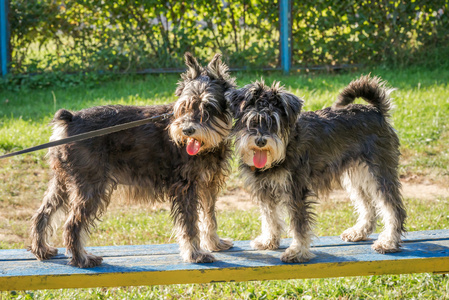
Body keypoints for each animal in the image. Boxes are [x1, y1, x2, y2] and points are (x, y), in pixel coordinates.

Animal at [28, 53, 236, 268]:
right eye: (184, 106)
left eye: (208, 107)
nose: (187, 130)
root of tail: (69, 119)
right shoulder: (186, 187)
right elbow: (190, 223)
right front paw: (195, 254)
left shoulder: (208, 185)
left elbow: (209, 216)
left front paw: (214, 243)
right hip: (90, 187)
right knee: (72, 224)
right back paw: (82, 258)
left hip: (63, 183)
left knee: (43, 214)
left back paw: (42, 249)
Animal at [226, 75, 404, 262]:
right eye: (252, 120)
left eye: (274, 121)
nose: (260, 141)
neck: (286, 145)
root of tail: (377, 111)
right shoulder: (265, 190)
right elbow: (270, 217)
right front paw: (268, 240)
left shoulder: (295, 191)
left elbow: (299, 225)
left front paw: (297, 251)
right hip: (357, 177)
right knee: (368, 206)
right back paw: (358, 232)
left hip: (379, 175)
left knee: (393, 209)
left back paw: (389, 242)